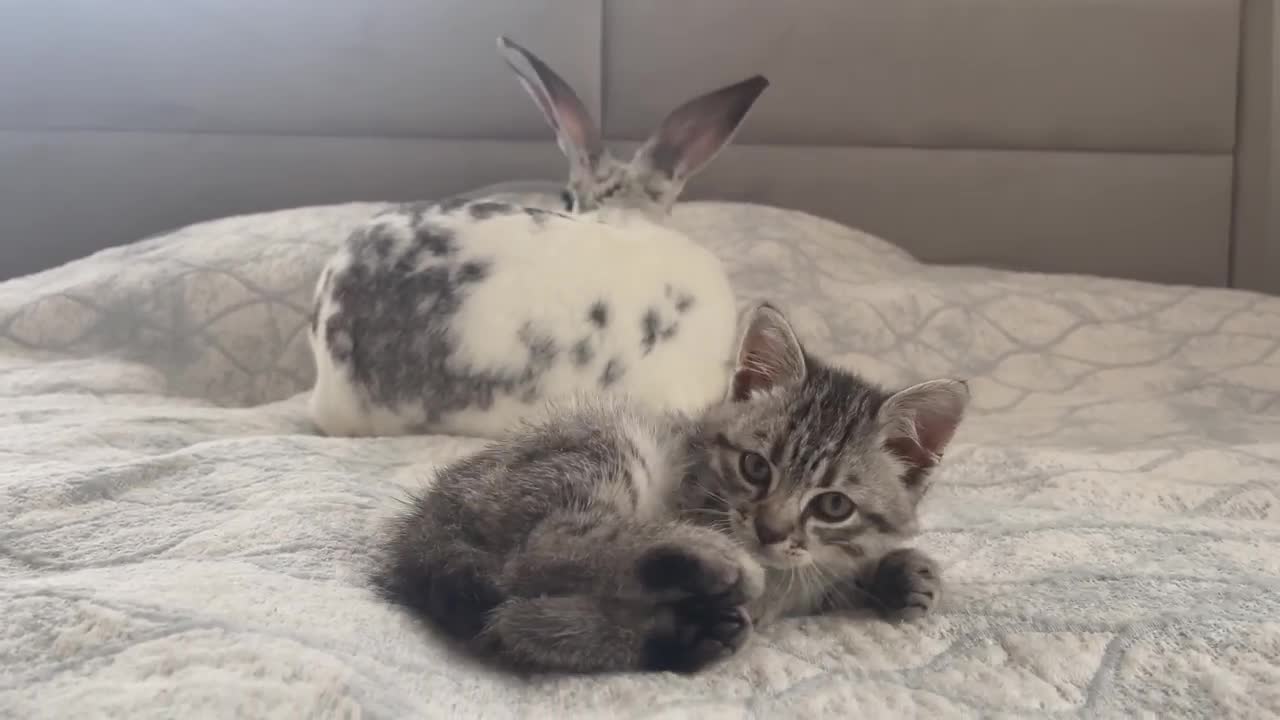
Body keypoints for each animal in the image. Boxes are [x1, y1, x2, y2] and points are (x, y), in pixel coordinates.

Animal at [373, 299, 962, 671]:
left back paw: (685, 635)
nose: (769, 532)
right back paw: (704, 564)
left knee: (520, 623)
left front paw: (904, 572)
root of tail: (424, 523)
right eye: (756, 467)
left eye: (834, 505)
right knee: (540, 552)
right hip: (603, 446)